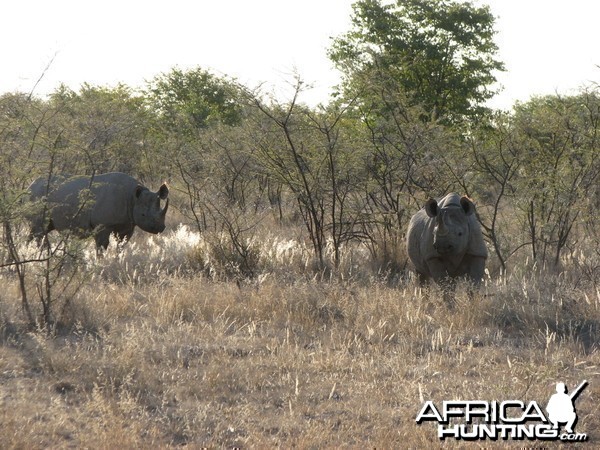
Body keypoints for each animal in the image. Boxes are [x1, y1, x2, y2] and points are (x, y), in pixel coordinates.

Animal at [27, 171, 169, 250]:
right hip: (37, 196)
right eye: (143, 215)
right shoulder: (103, 225)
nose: (160, 228)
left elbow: (121, 245)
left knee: (40, 230)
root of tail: (30, 185)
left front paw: (118, 260)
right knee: (39, 230)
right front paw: (101, 263)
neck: (133, 198)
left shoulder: (128, 224)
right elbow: (102, 246)